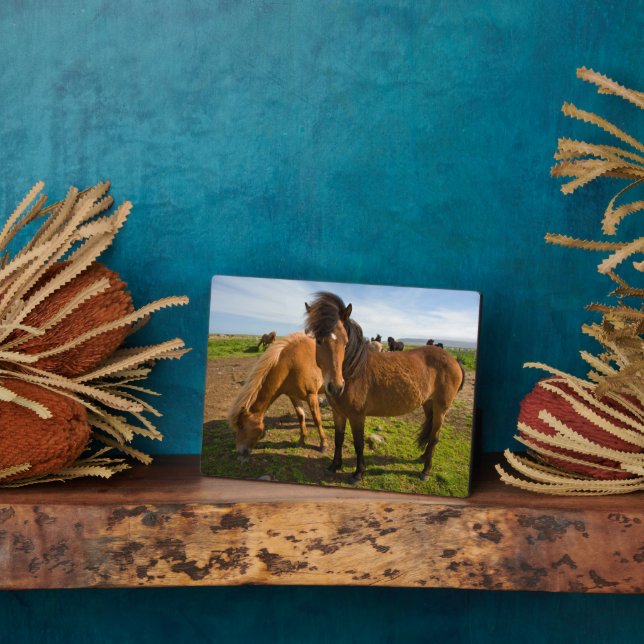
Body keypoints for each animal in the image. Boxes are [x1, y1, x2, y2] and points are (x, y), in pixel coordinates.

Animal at [305, 292, 464, 482]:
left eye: (345, 342)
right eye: (319, 341)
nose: (336, 387)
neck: (354, 370)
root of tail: (454, 361)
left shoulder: (357, 416)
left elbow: (358, 443)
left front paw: (358, 473)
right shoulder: (338, 413)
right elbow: (339, 439)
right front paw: (335, 465)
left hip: (441, 407)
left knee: (435, 437)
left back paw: (425, 471)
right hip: (428, 404)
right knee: (431, 432)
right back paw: (423, 457)